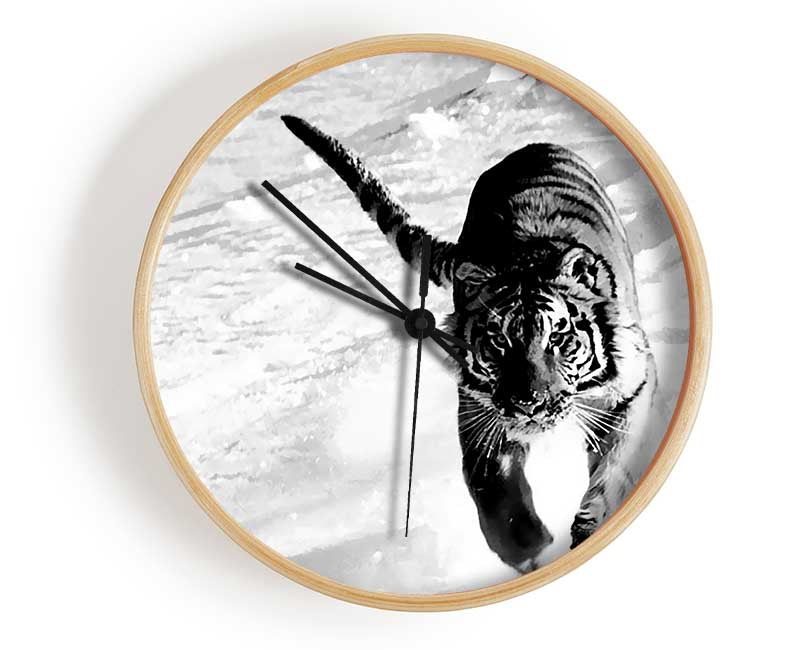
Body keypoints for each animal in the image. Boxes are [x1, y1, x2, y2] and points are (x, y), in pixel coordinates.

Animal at [279, 114, 656, 573]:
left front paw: (591, 526)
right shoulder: (478, 412)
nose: (530, 404)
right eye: (498, 341)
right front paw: (526, 546)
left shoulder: (631, 388)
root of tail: (529, 147)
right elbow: (492, 491)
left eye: (559, 335)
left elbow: (615, 466)